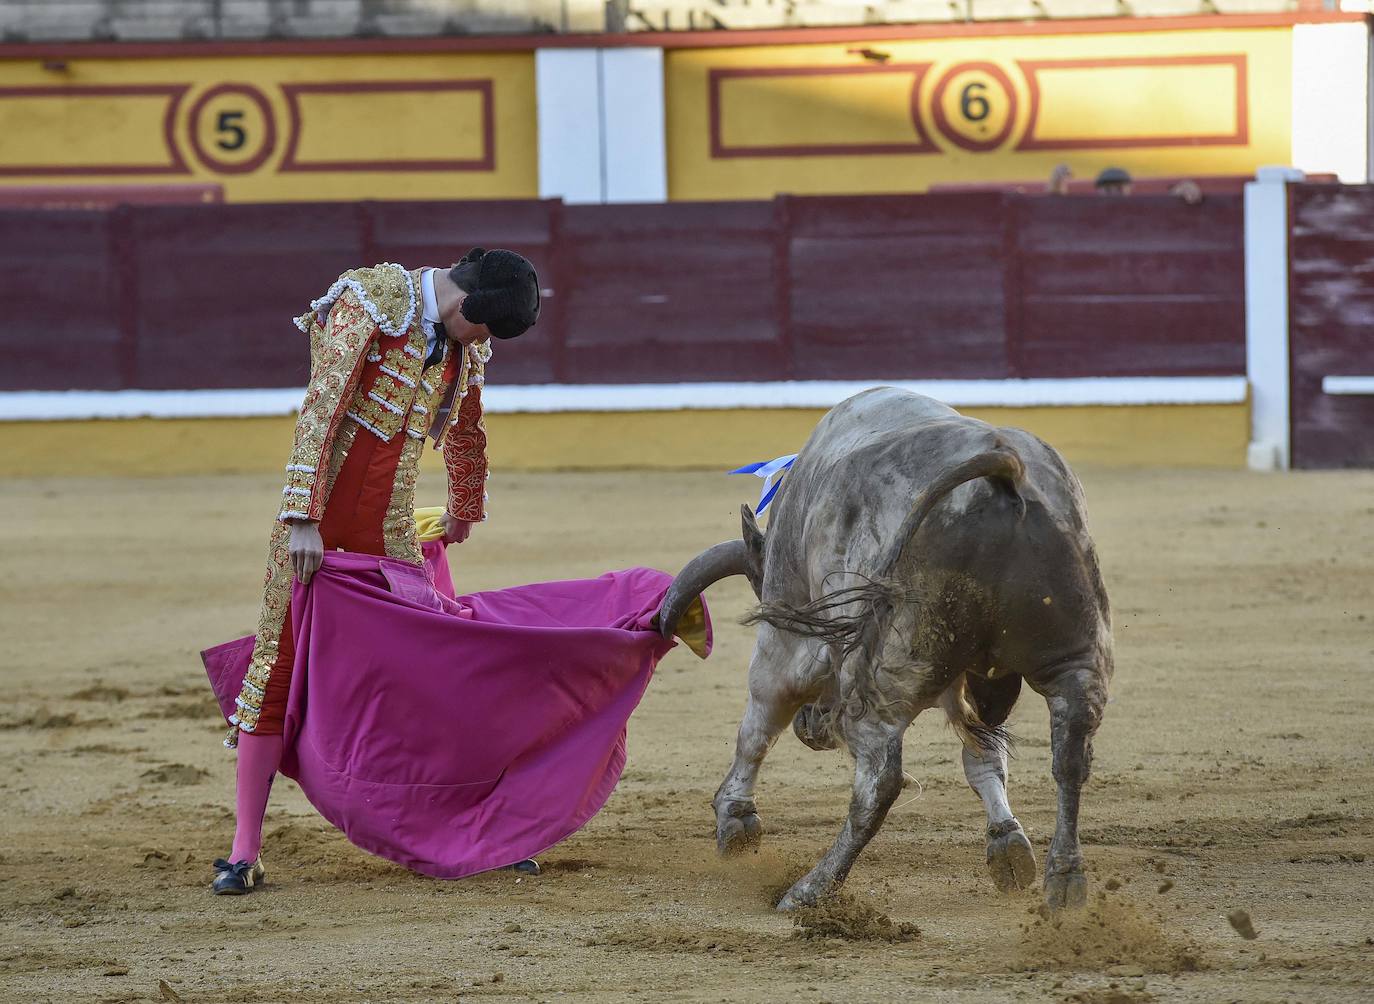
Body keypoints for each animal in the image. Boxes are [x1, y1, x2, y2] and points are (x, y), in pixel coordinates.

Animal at [656, 390, 1115, 917]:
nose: (811, 729)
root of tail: (1005, 467)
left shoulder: (789, 629)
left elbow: (756, 727)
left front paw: (735, 821)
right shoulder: (970, 682)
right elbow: (984, 755)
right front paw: (1007, 845)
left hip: (887, 671)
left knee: (879, 779)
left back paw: (810, 889)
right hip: (1078, 659)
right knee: (1071, 756)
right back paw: (1066, 881)